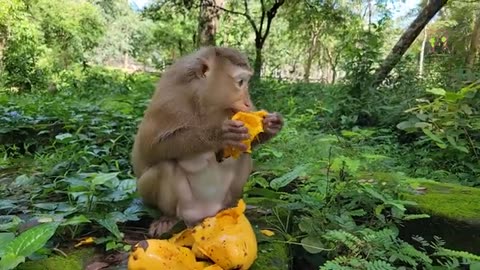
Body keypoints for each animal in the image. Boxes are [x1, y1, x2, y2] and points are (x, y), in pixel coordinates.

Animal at [129, 46, 284, 236]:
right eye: (240, 82)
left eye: (246, 83)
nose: (248, 103)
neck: (205, 103)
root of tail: (206, 213)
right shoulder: (170, 100)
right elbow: (149, 149)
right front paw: (219, 135)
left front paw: (270, 126)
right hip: (180, 208)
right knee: (165, 166)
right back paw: (168, 218)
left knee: (244, 155)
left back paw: (231, 207)